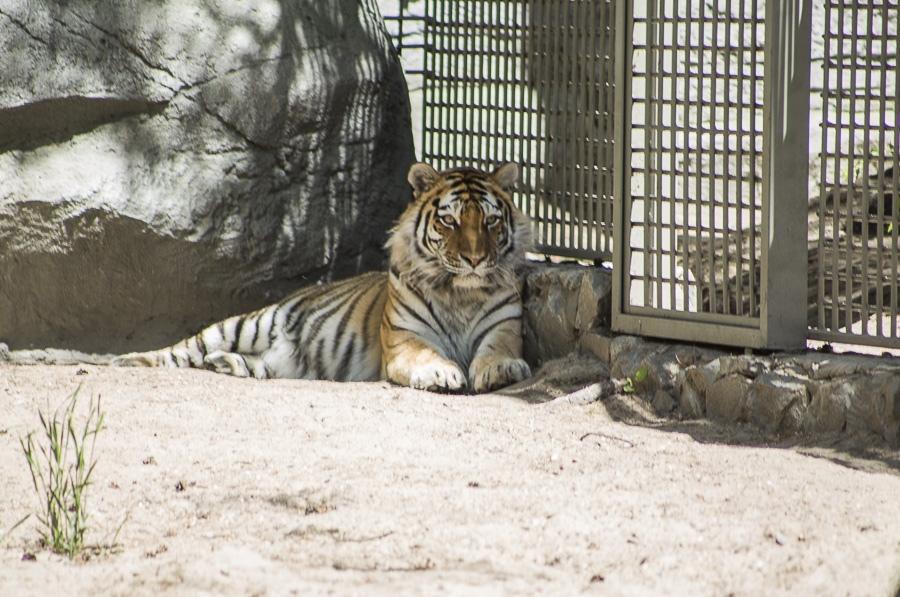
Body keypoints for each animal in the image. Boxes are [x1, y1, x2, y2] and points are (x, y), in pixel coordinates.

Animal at [114, 162, 536, 392]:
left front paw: (501, 370)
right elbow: (425, 353)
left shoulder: (504, 327)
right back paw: (126, 361)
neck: (460, 293)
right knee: (179, 350)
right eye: (450, 221)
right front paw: (439, 371)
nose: (474, 259)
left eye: (491, 221)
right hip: (245, 324)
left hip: (274, 363)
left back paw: (224, 365)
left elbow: (497, 350)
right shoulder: (405, 339)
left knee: (248, 365)